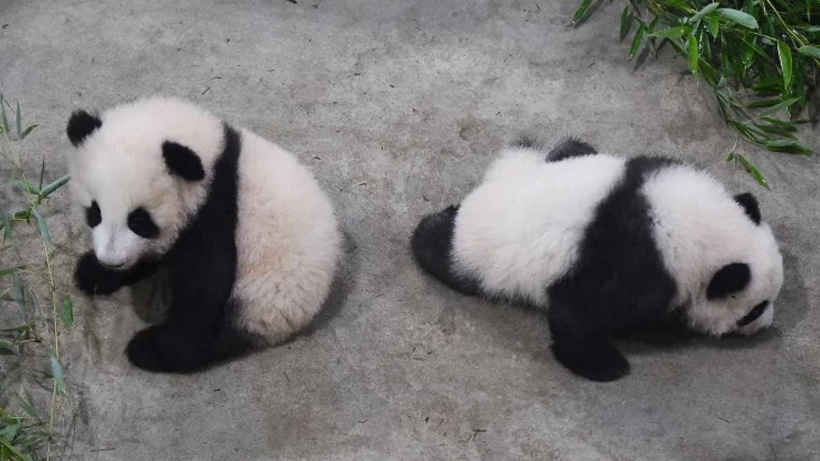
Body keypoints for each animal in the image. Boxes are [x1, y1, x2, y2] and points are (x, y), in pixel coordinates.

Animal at [67, 97, 342, 373]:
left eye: (139, 220)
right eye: (94, 212)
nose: (111, 261)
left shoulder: (215, 210)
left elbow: (205, 281)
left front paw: (160, 347)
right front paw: (93, 272)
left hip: (266, 294)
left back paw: (154, 350)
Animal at [411, 138, 784, 382]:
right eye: (753, 309)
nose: (767, 324)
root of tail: (488, 186)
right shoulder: (636, 267)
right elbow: (579, 314)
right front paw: (607, 364)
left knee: (565, 147)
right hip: (479, 251)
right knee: (444, 253)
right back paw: (430, 231)